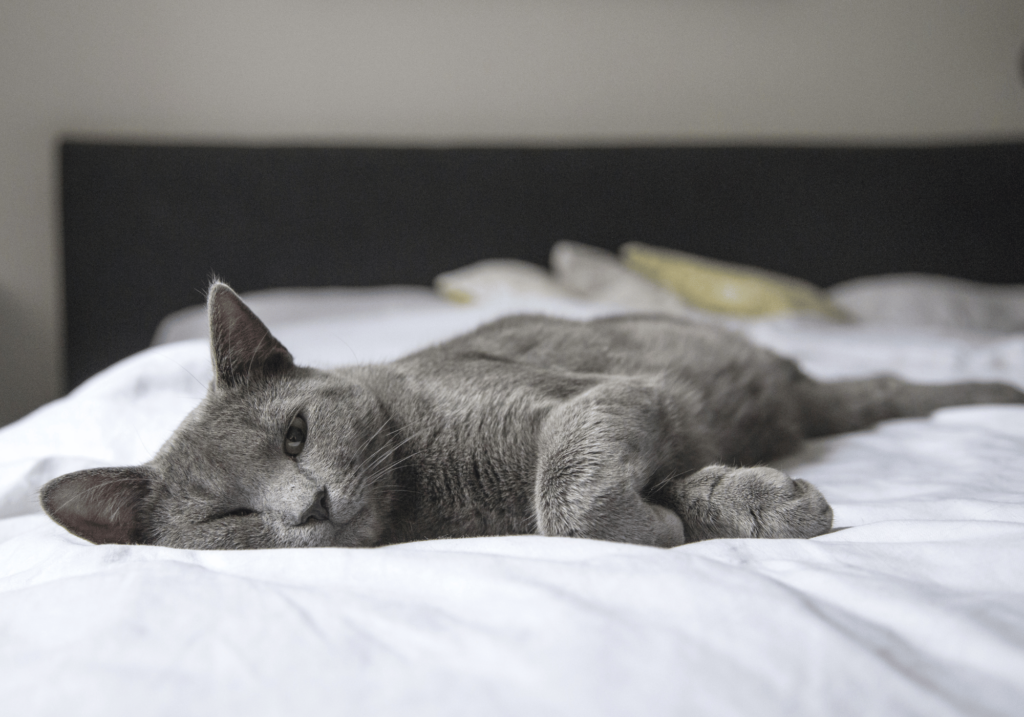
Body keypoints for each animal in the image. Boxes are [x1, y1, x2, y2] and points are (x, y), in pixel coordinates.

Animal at [39, 280, 1024, 549]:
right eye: (229, 516)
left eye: (294, 433)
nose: (309, 504)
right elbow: (603, 499)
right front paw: (731, 506)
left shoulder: (595, 396)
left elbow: (564, 492)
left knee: (888, 386)